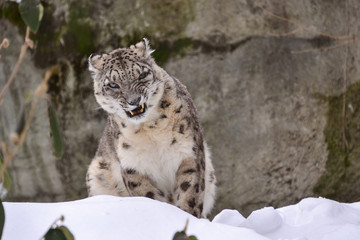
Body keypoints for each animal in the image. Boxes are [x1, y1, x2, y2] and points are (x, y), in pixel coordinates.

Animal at [86, 39, 217, 218]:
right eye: (113, 84)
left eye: (141, 75)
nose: (134, 100)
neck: (149, 130)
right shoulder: (133, 165)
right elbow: (147, 195)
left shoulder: (189, 152)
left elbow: (190, 193)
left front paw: (188, 217)